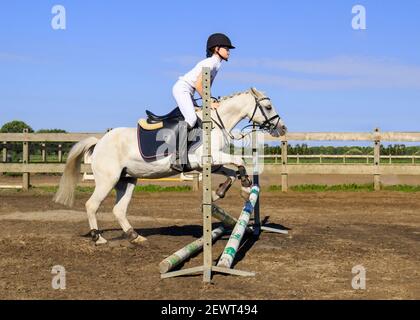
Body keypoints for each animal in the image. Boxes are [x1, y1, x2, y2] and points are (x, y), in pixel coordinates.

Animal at [54, 87, 288, 245]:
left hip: (127, 180)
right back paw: (98, 238)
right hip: (107, 180)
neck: (214, 122)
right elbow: (239, 162)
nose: (282, 128)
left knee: (119, 209)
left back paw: (135, 236)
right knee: (92, 205)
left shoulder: (210, 163)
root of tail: (99, 142)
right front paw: (246, 186)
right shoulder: (205, 159)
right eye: (268, 107)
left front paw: (222, 193)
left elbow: (231, 172)